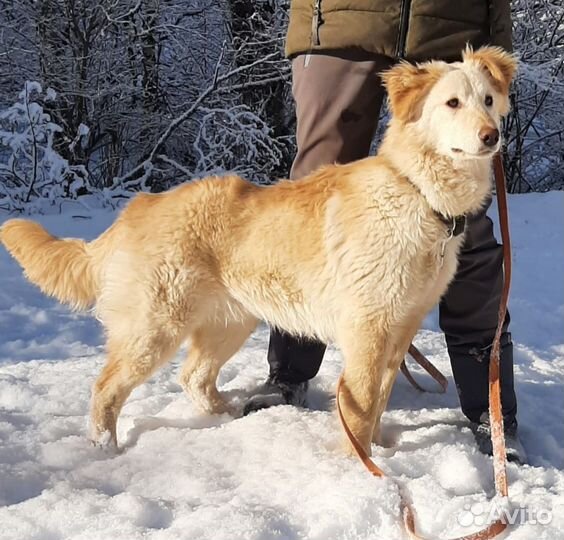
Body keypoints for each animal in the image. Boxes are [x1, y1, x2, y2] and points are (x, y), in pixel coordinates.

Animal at [0, 47, 516, 456]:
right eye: (452, 103)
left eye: (489, 101)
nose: (491, 136)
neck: (418, 193)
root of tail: (137, 207)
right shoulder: (368, 332)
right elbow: (361, 406)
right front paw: (361, 468)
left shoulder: (400, 331)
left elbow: (379, 403)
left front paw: (378, 450)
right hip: (155, 329)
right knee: (106, 387)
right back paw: (104, 446)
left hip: (231, 321)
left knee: (193, 376)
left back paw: (225, 415)